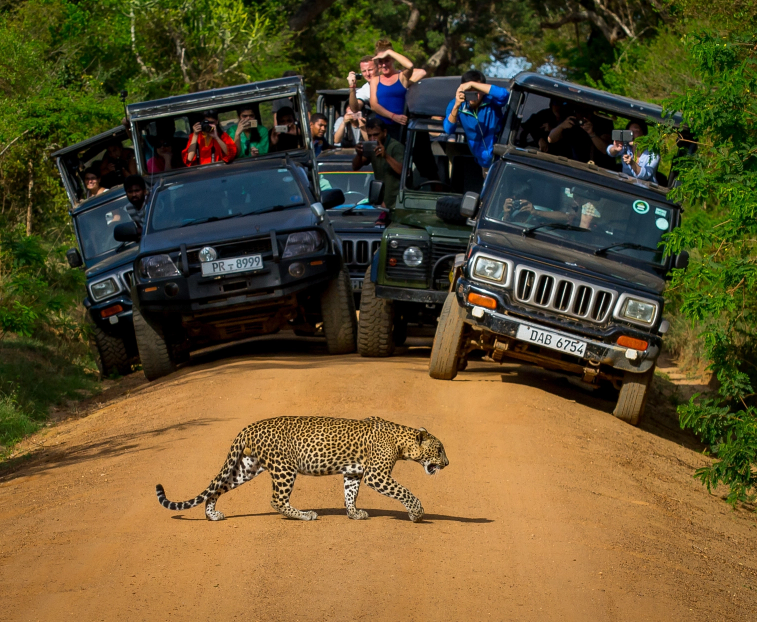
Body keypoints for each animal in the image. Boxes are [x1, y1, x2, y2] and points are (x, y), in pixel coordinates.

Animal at [156, 416, 446, 524]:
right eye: (440, 449)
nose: (448, 463)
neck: (402, 442)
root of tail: (250, 426)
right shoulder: (377, 476)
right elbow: (404, 491)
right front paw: (417, 513)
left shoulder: (353, 472)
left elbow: (350, 493)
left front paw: (353, 513)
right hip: (284, 468)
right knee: (276, 500)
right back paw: (305, 515)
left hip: (247, 467)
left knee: (217, 487)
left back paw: (212, 514)